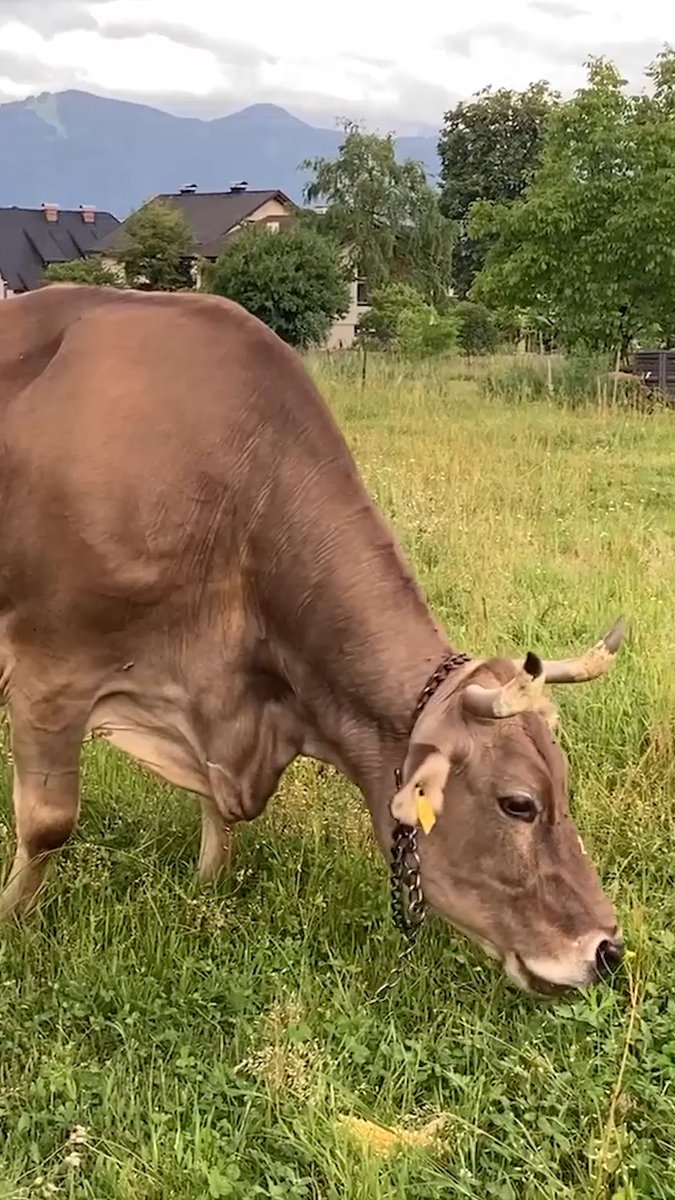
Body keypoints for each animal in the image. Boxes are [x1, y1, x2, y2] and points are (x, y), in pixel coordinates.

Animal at [0, 284, 626, 996]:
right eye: (518, 803)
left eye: (564, 783)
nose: (606, 948)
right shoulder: (52, 666)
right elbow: (49, 823)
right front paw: (13, 924)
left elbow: (220, 812)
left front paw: (207, 884)